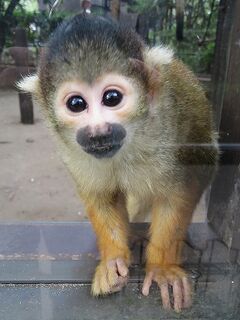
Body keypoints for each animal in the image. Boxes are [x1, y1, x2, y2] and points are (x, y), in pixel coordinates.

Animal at [18, 15, 218, 312]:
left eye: (112, 98)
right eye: (76, 104)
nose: (98, 131)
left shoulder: (171, 132)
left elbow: (178, 193)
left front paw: (162, 268)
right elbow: (101, 196)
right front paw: (113, 261)